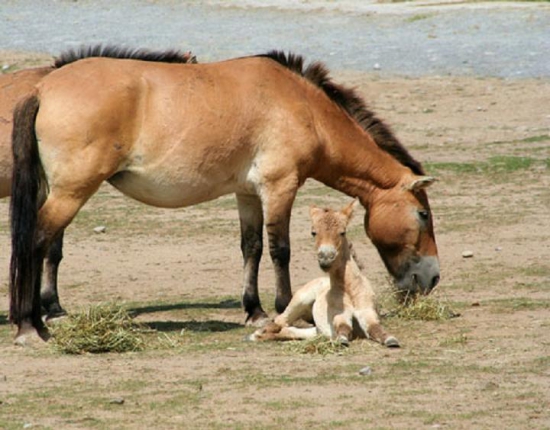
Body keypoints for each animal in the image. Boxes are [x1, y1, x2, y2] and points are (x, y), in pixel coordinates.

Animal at [251, 200, 402, 348]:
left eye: (343, 232)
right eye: (313, 232)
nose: (325, 258)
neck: (350, 290)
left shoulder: (367, 312)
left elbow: (375, 328)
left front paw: (391, 340)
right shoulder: (339, 315)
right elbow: (344, 327)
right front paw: (342, 340)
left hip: (315, 327)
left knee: (291, 330)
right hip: (300, 300)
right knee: (281, 321)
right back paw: (258, 333)